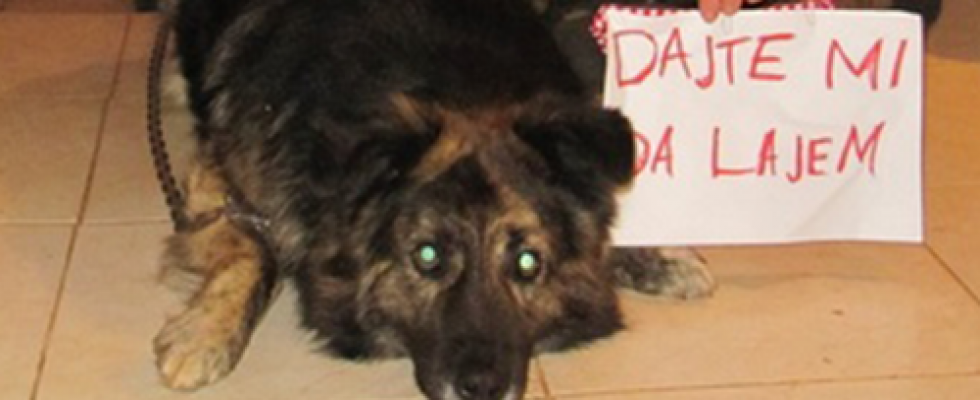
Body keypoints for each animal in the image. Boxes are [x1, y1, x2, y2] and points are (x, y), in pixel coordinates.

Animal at [153, 1, 715, 399]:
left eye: (528, 263)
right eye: (427, 257)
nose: (482, 389)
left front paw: (658, 256)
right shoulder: (221, 168)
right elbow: (253, 250)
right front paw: (206, 332)